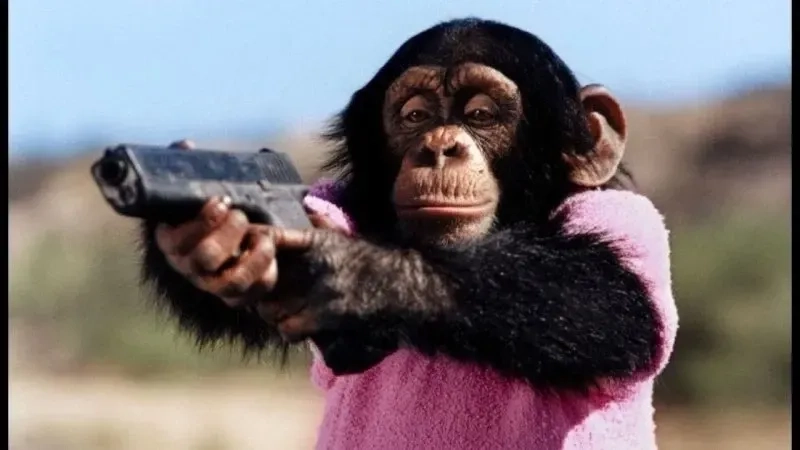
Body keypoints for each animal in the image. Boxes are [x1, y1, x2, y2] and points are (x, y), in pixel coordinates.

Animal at [141, 18, 677, 450]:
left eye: (481, 114)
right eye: (416, 115)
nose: (439, 147)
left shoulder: (629, 220)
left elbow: (605, 298)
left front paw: (361, 276)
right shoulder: (334, 202)